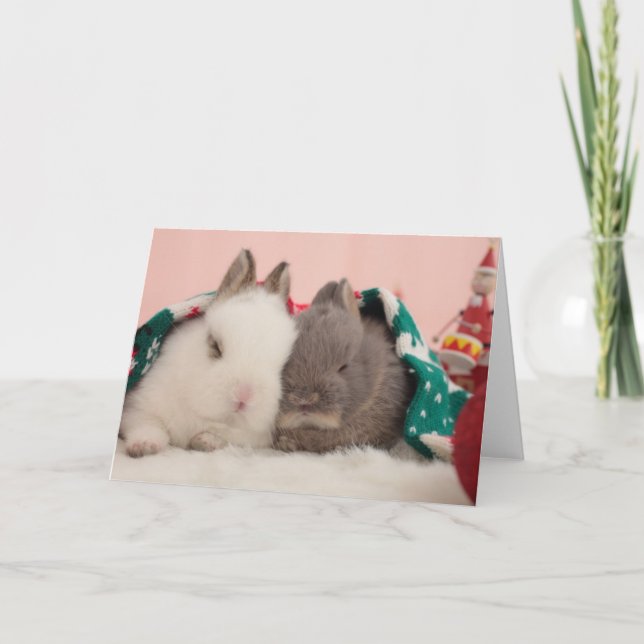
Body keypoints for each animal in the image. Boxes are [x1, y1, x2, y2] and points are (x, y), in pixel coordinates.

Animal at [120, 249, 297, 458]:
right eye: (215, 346)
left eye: (284, 366)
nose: (244, 397)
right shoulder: (137, 406)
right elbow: (148, 425)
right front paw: (144, 446)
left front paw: (205, 441)